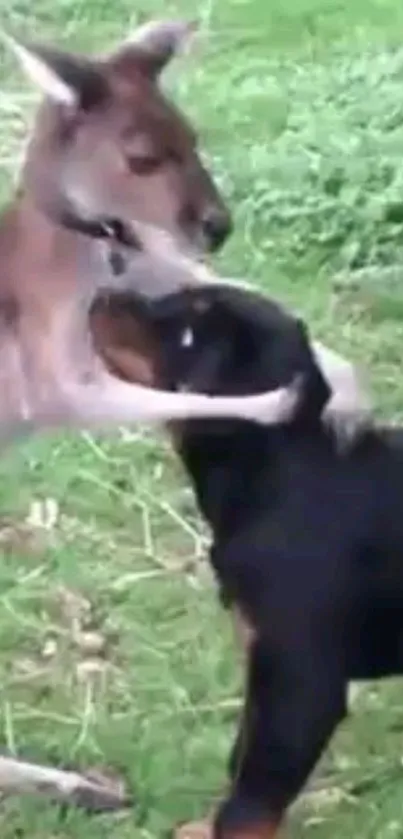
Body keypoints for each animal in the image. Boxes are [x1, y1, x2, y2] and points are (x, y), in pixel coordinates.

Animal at [98, 288, 403, 839]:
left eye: (188, 333)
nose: (102, 293)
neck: (279, 473)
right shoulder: (259, 661)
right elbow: (239, 760)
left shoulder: (300, 685)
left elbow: (252, 800)